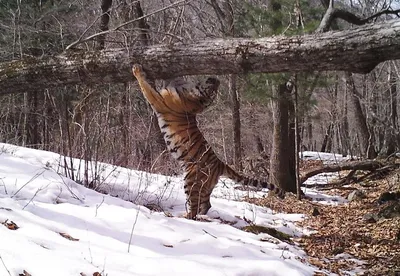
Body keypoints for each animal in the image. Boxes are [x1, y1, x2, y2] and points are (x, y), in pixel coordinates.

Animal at [131, 64, 284, 220]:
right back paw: (202, 216)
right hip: (205, 186)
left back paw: (183, 216)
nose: (215, 79)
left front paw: (137, 70)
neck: (194, 96)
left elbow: (146, 88)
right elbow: (171, 79)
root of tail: (221, 164)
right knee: (206, 204)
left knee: (193, 208)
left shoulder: (159, 100)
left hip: (191, 181)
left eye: (212, 91)